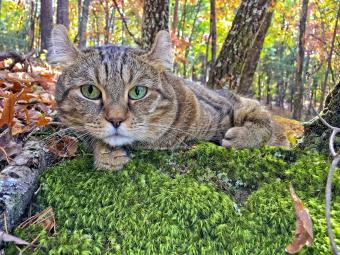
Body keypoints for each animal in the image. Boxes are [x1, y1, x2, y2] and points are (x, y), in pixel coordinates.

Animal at [47, 24, 274, 170]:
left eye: (138, 92)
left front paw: (245, 137)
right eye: (90, 91)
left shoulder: (228, 106)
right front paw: (105, 152)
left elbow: (263, 121)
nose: (116, 119)